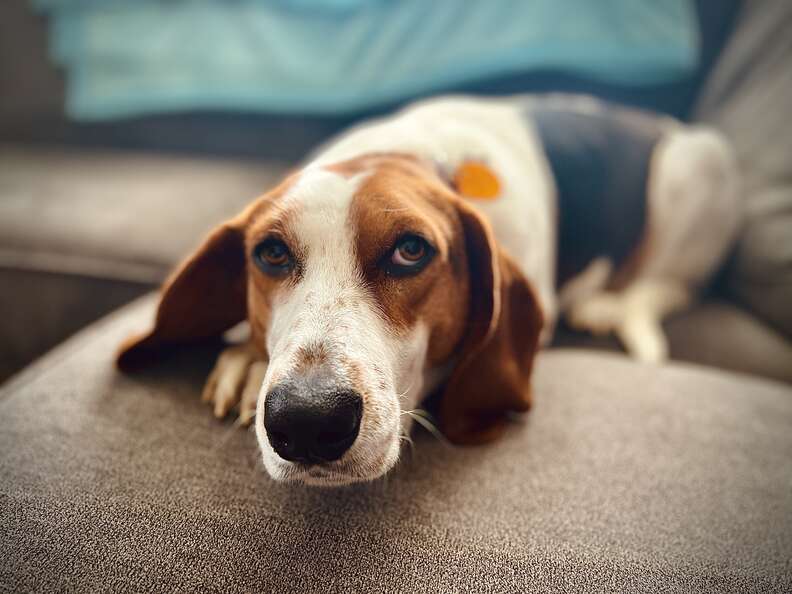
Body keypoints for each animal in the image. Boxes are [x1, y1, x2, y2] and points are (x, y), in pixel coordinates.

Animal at [117, 95, 744, 486]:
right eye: (270, 253)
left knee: (667, 287)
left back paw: (608, 303)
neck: (408, 153)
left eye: (411, 250)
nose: (307, 420)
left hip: (701, 164)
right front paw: (249, 357)